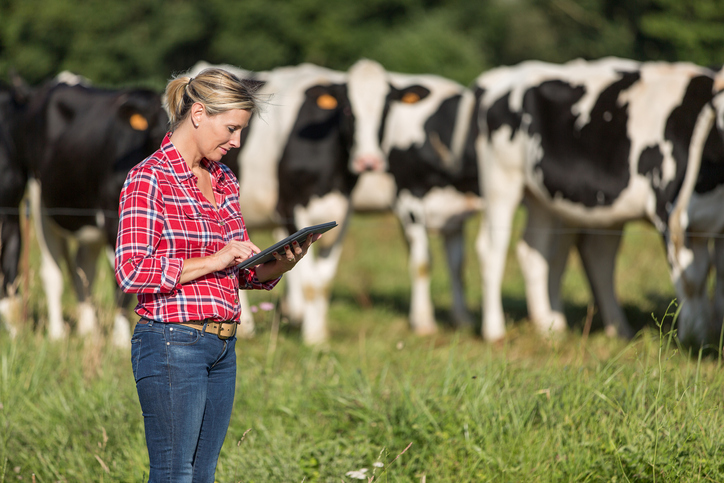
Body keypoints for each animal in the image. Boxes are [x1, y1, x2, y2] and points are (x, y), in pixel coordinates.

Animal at [16, 77, 167, 346]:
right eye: (159, 128)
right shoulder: (113, 220)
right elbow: (122, 284)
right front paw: (120, 339)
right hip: (40, 200)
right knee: (52, 271)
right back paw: (57, 333)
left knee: (83, 269)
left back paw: (88, 330)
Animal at [476, 57, 724, 348]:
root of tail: (506, 74)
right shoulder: (668, 212)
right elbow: (692, 278)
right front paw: (693, 337)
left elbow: (716, 277)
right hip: (500, 181)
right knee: (492, 249)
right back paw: (495, 332)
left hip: (543, 199)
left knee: (539, 253)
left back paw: (553, 329)